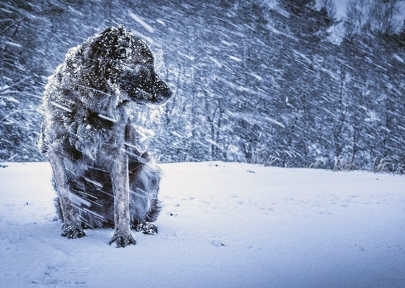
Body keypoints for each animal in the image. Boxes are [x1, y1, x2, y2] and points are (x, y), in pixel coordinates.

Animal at [37, 25, 171, 248]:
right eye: (146, 63)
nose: (170, 93)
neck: (87, 103)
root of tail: (103, 219)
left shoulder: (117, 154)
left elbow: (122, 202)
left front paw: (122, 236)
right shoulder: (57, 150)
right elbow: (67, 196)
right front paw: (72, 228)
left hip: (148, 169)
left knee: (140, 212)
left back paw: (144, 225)